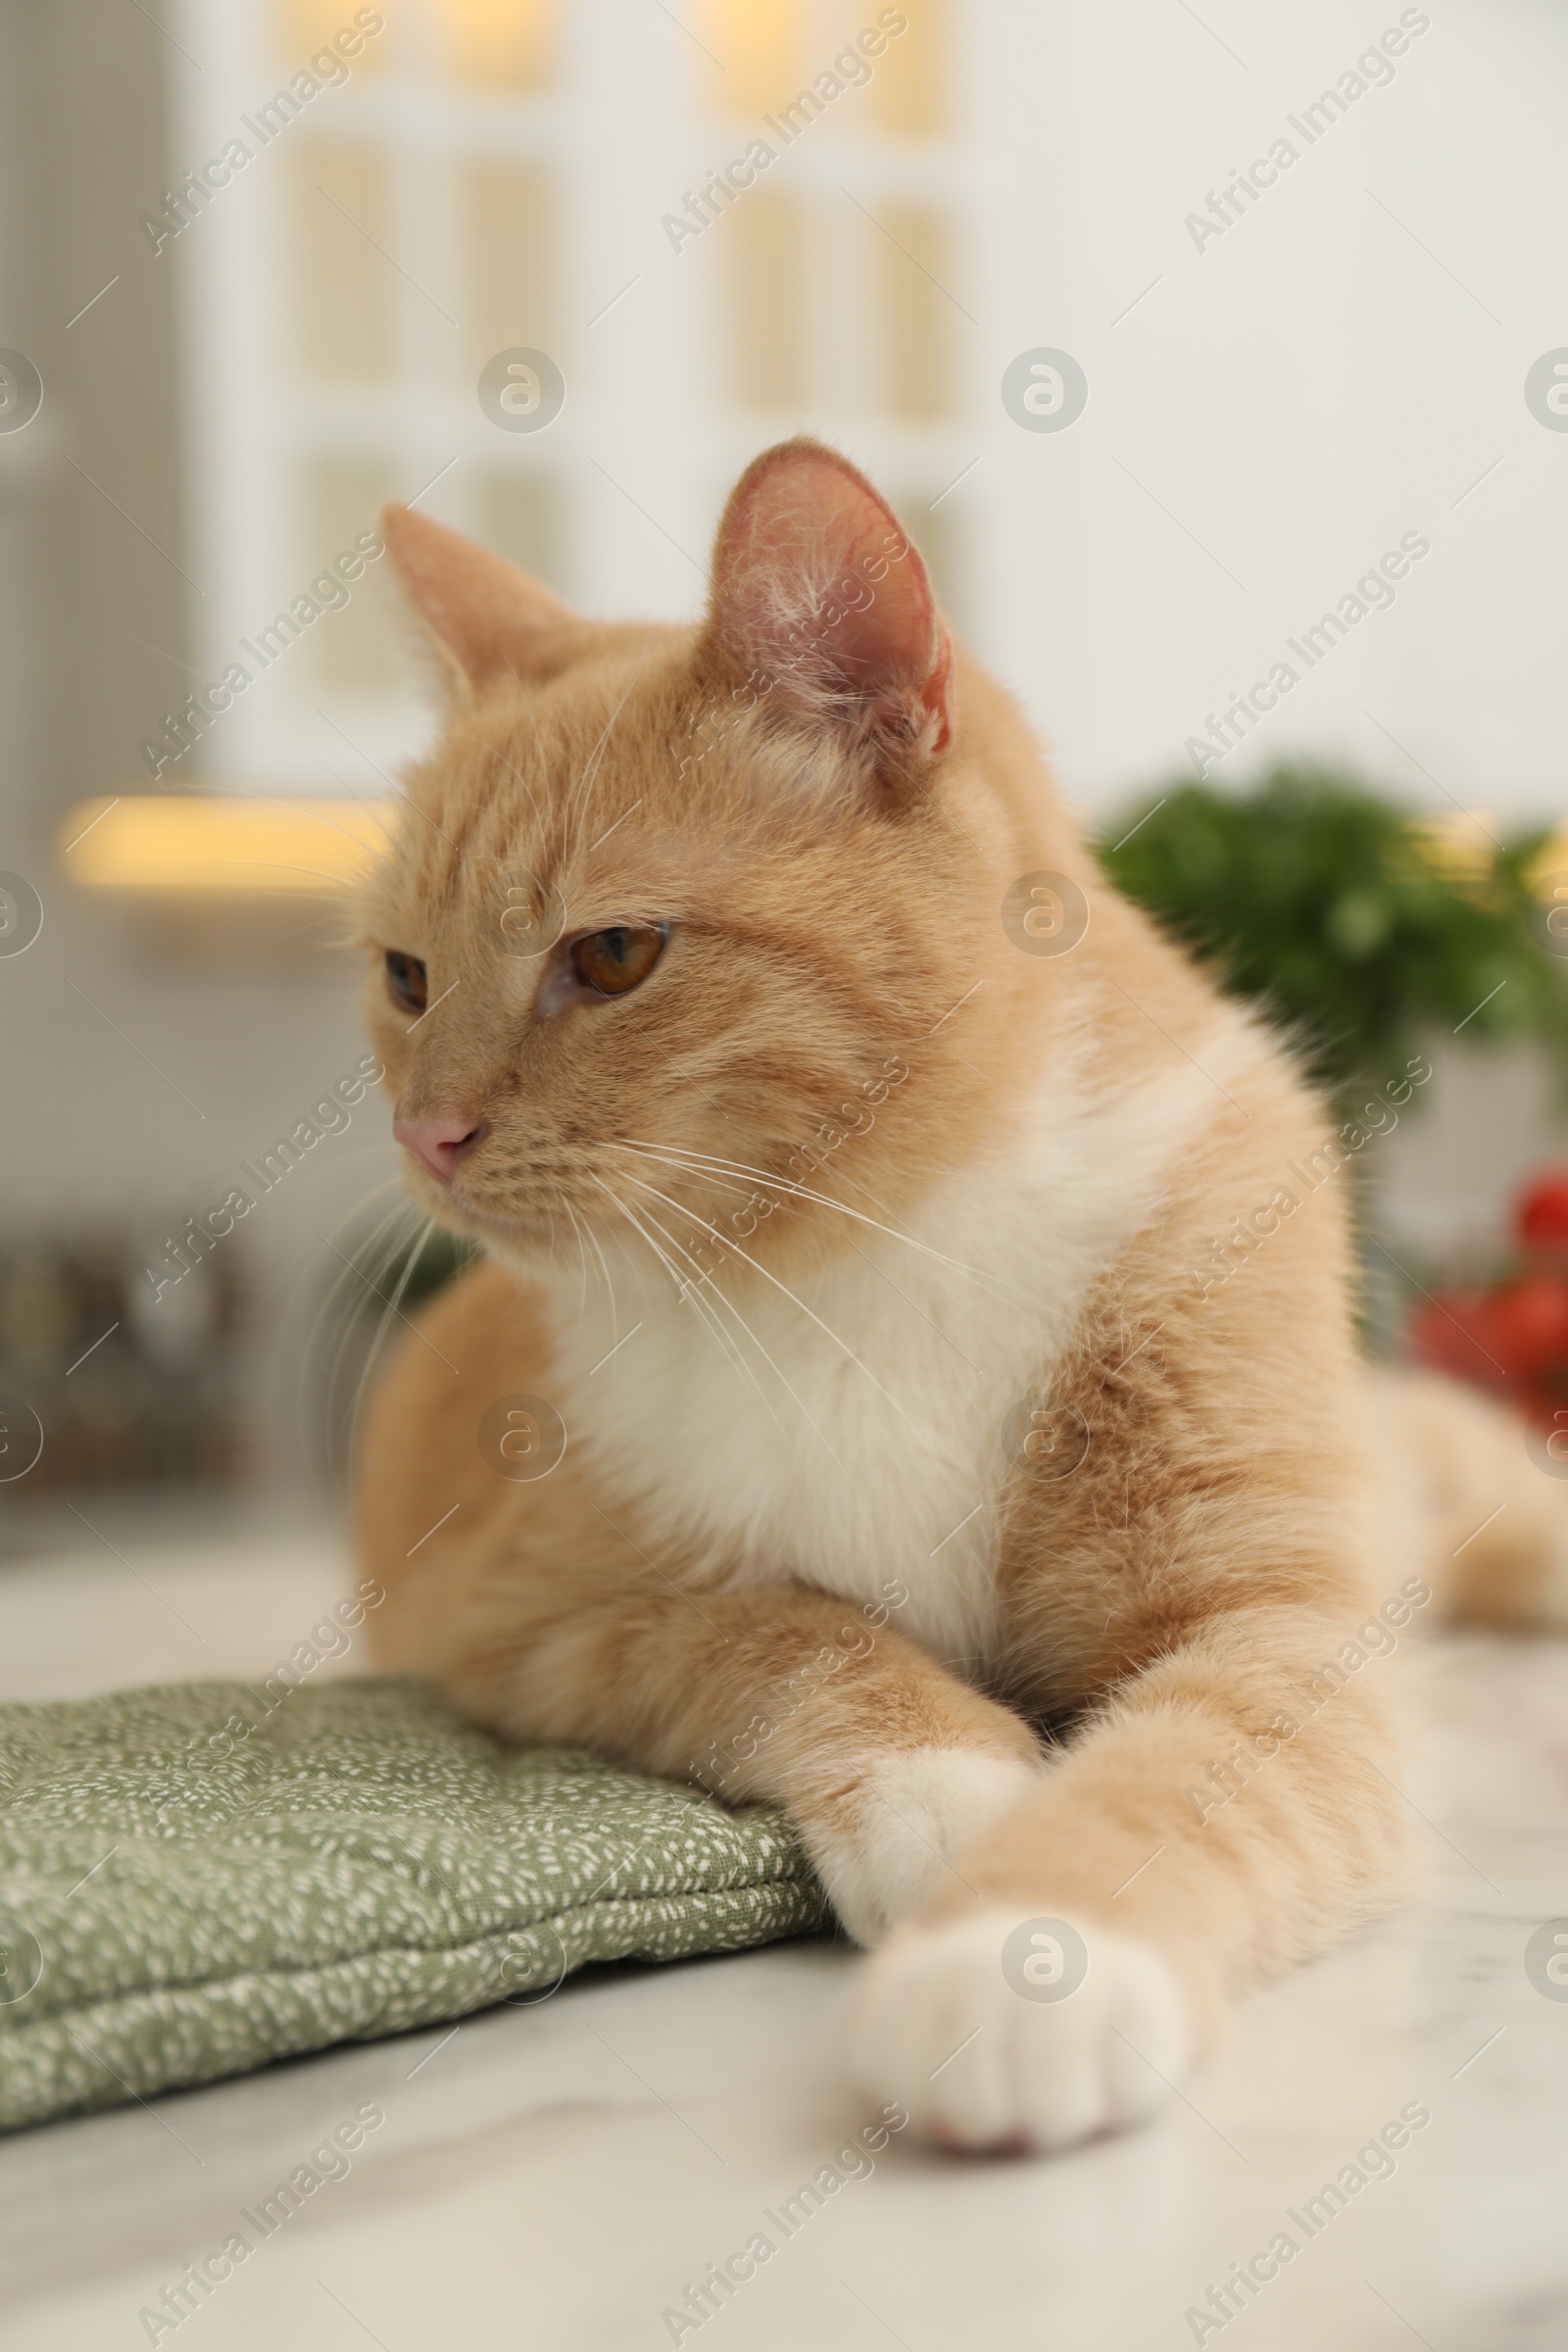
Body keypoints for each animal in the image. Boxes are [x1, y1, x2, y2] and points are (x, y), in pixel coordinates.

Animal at [355, 437, 1568, 2154]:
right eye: (405, 977)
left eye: (614, 955)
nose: (430, 1134)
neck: (868, 1255)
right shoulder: (519, 1626)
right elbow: (772, 1628)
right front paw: (948, 1787)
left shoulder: (1279, 1633)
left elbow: (1167, 1777)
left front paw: (1021, 1956)